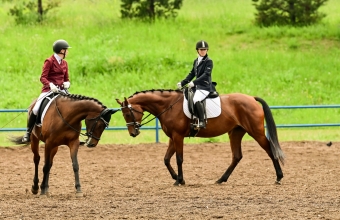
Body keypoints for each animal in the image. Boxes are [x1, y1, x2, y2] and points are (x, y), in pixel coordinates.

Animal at [117, 89, 284, 186]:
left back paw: (279, 177)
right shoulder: (172, 137)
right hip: (235, 132)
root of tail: (251, 98)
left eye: (127, 114)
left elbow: (178, 159)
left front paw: (180, 180)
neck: (169, 105)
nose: (133, 133)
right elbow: (166, 159)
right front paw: (176, 178)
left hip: (256, 132)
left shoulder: (178, 136)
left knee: (270, 150)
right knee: (237, 156)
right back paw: (221, 179)